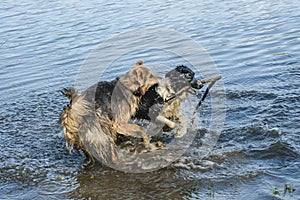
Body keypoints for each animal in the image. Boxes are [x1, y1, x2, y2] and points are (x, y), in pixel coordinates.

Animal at [61, 60, 205, 166]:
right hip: (103, 128)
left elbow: (180, 119)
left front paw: (179, 131)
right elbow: (156, 126)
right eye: (191, 77)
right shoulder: (136, 117)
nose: (201, 85)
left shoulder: (169, 112)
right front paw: (159, 134)